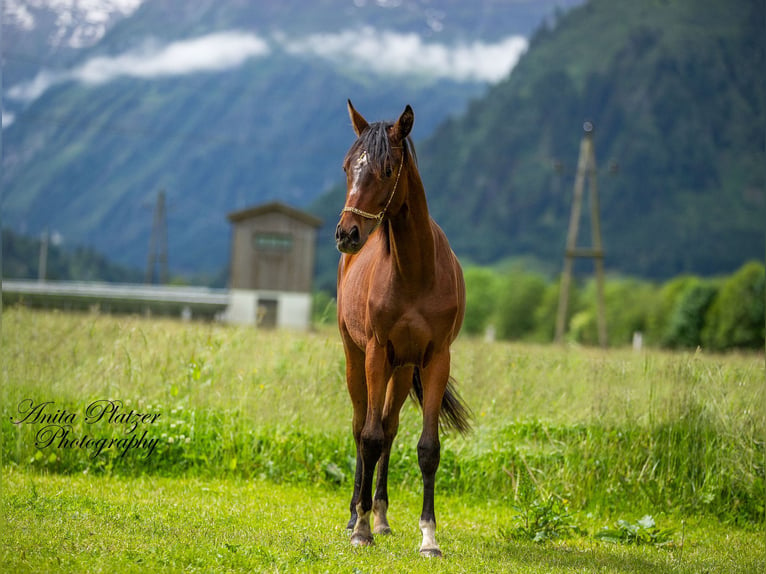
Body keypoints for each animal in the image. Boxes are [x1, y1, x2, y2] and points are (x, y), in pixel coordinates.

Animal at [334, 100, 468, 560]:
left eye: (388, 169)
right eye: (347, 167)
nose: (347, 234)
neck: (415, 272)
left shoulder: (435, 359)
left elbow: (427, 448)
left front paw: (429, 537)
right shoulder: (376, 352)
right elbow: (369, 437)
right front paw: (359, 532)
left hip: (401, 368)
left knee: (389, 428)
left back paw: (380, 515)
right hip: (357, 358)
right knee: (362, 427)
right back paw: (356, 516)